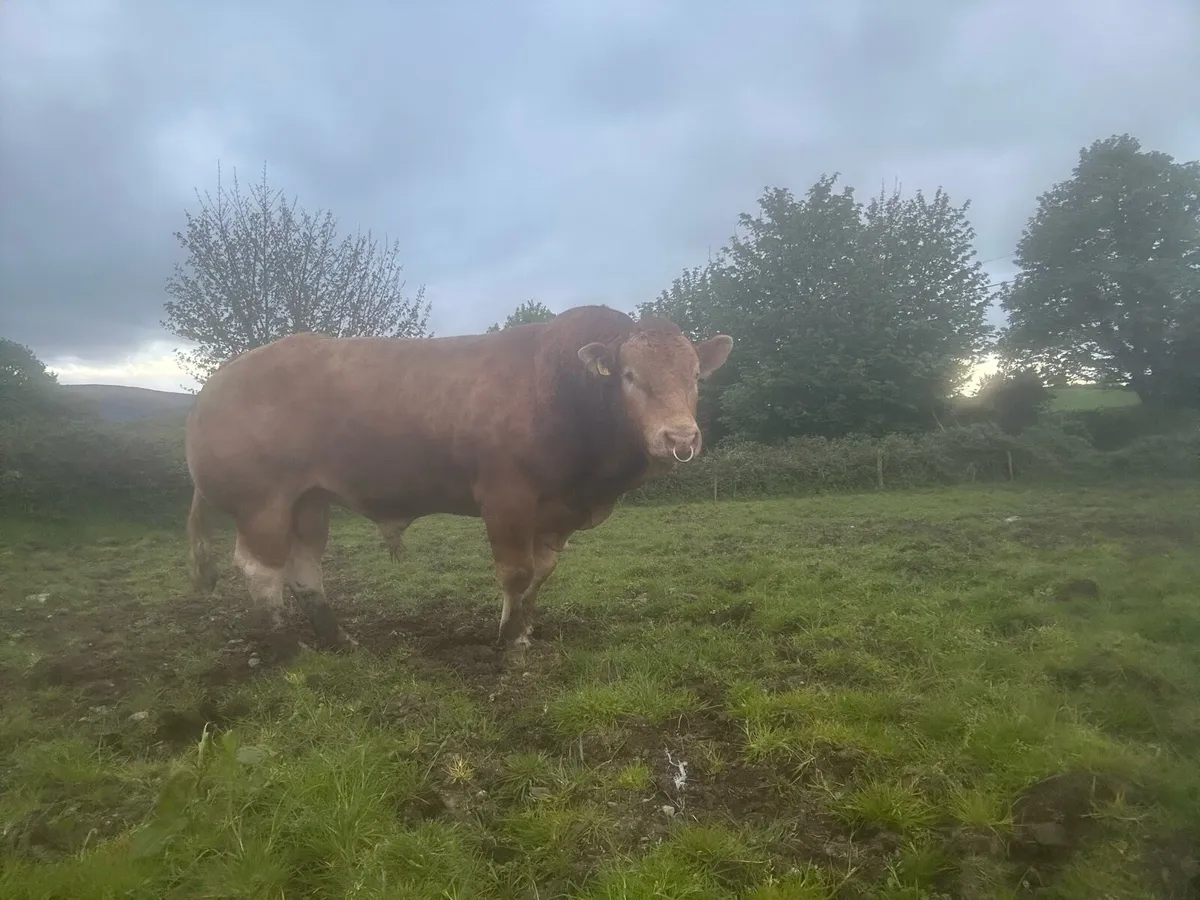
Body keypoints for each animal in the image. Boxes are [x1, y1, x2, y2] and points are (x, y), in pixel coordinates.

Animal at [184, 304, 733, 661]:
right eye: (629, 376)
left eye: (695, 377)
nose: (680, 437)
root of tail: (217, 383)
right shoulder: (506, 498)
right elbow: (515, 572)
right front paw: (508, 643)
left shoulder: (555, 512)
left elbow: (541, 572)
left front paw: (524, 630)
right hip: (263, 502)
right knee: (260, 570)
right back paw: (288, 649)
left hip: (309, 500)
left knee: (303, 568)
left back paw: (338, 641)